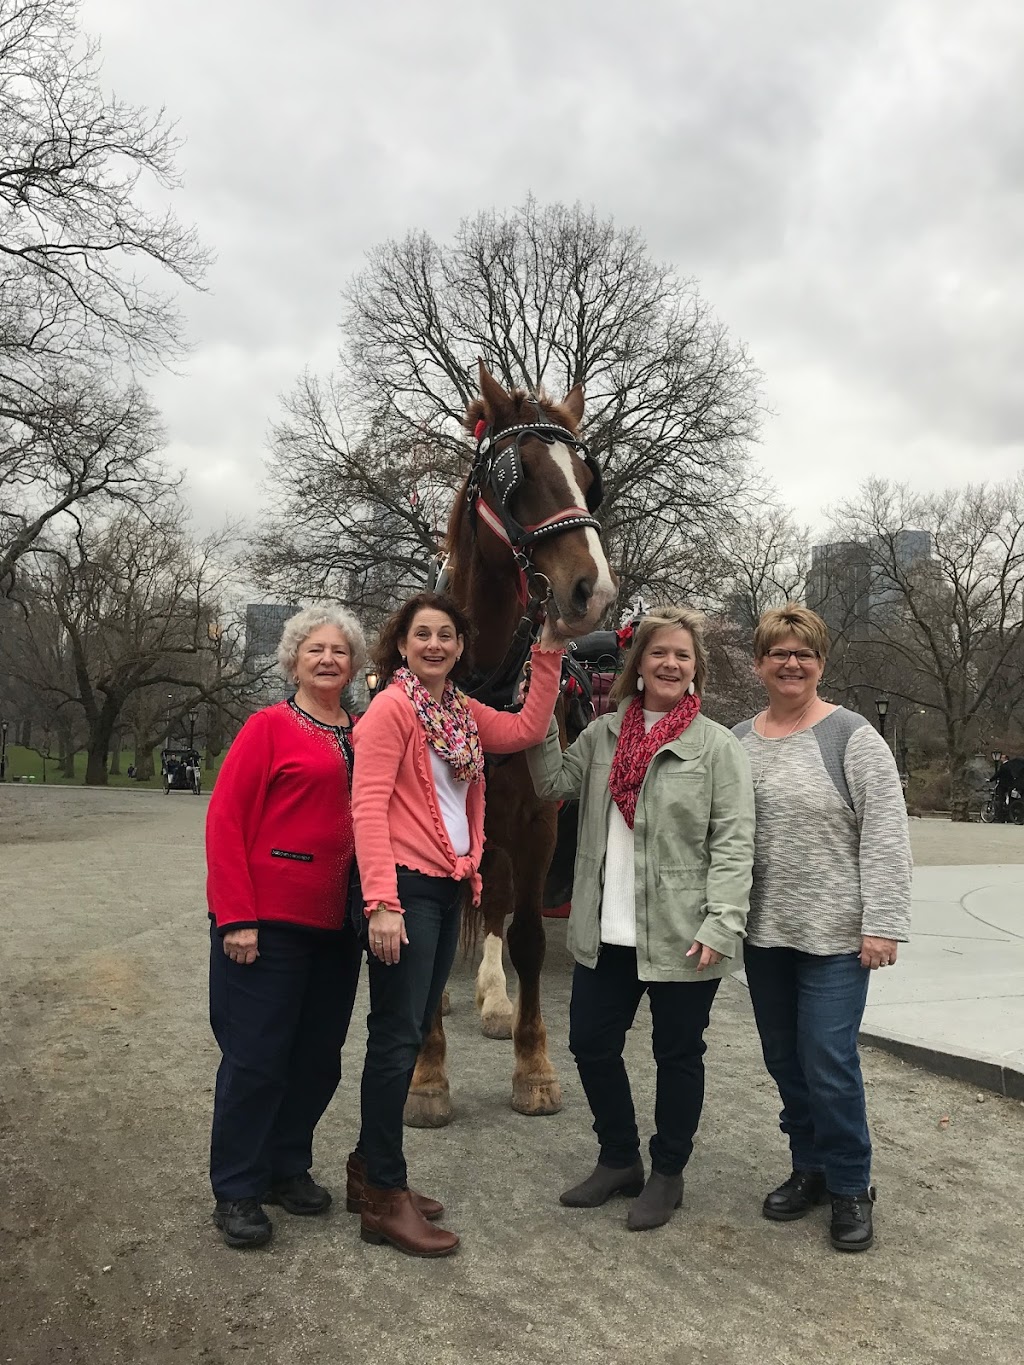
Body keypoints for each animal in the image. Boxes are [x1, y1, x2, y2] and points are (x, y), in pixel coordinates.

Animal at [404, 357, 617, 1124]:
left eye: (587, 479)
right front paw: (427, 1074)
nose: (593, 589)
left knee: (493, 902)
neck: (482, 679)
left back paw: (495, 997)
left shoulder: (536, 824)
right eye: (515, 475)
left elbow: (522, 931)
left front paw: (534, 1064)